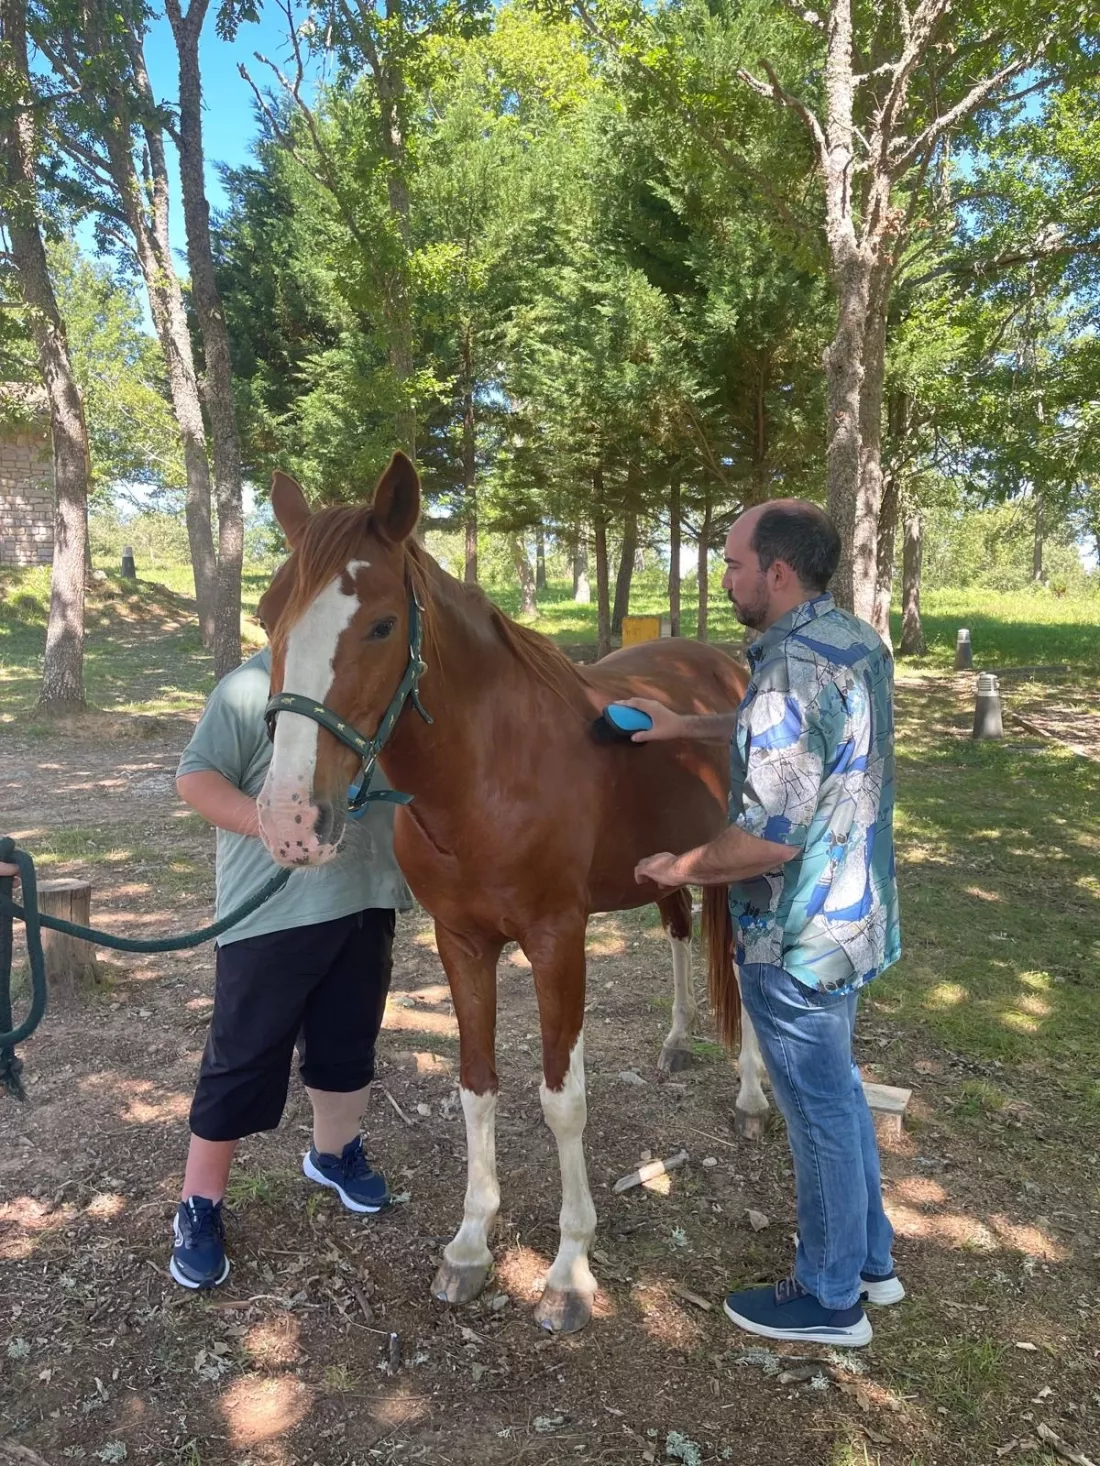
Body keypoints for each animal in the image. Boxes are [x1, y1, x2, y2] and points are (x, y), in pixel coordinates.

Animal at [254, 452, 769, 1334]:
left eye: (381, 626)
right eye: (264, 619)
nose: (291, 820)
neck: (489, 773)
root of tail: (723, 665)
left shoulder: (557, 940)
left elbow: (563, 1100)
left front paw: (568, 1273)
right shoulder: (462, 943)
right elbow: (476, 1087)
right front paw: (469, 1248)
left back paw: (751, 1092)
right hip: (663, 868)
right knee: (678, 934)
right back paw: (676, 1042)